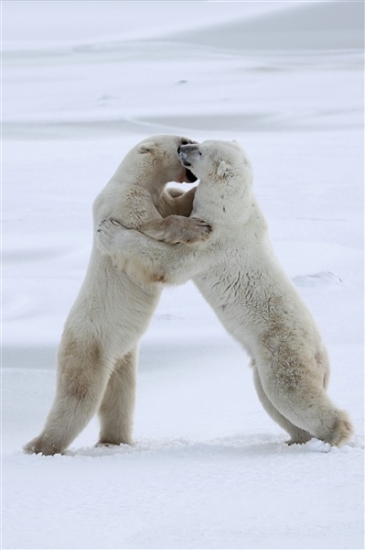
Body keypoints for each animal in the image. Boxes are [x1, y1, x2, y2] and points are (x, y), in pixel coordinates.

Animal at [24, 135, 210, 458]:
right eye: (181, 142)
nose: (192, 162)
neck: (135, 179)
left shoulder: (157, 196)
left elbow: (175, 204)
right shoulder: (125, 201)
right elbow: (155, 225)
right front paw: (197, 226)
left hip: (122, 355)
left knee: (120, 396)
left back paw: (114, 440)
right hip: (90, 346)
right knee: (79, 398)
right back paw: (40, 446)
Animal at [96, 139, 352, 448]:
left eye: (200, 151)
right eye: (199, 143)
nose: (183, 148)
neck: (231, 205)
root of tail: (321, 356)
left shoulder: (214, 238)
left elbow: (169, 262)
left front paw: (110, 230)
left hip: (283, 349)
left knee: (291, 393)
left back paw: (336, 434)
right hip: (264, 361)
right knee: (270, 398)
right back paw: (297, 439)